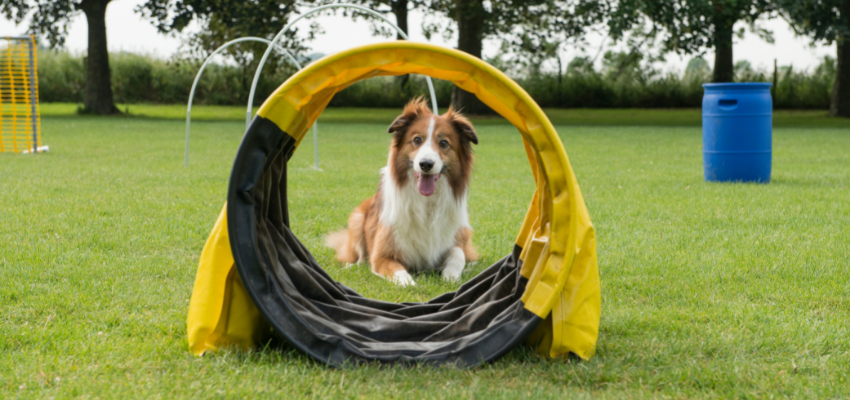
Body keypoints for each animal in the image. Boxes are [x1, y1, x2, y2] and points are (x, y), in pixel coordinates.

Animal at [326, 96, 476, 284]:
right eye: (417, 140)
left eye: (443, 143)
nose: (426, 164)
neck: (426, 203)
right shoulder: (381, 254)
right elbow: (400, 274)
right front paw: (410, 283)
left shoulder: (459, 236)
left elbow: (459, 254)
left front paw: (451, 276)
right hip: (357, 219)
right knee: (357, 256)